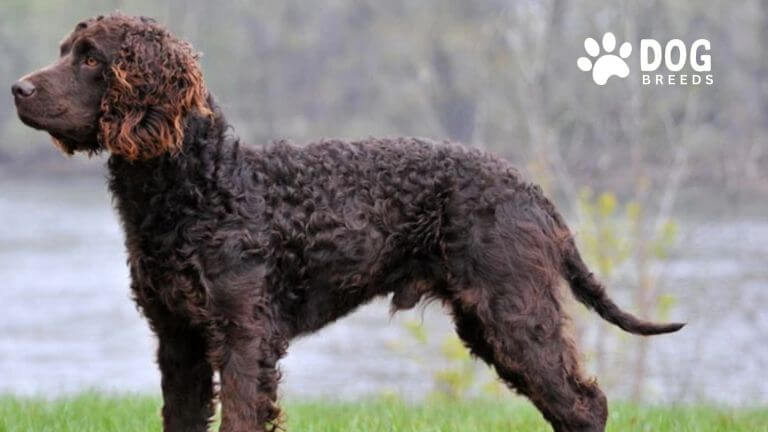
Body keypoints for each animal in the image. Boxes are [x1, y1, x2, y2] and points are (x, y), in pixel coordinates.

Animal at [12, 12, 684, 432]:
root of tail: (530, 189)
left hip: (514, 310)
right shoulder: (178, 340)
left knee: (584, 404)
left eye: (92, 60)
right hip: (491, 321)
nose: (17, 88)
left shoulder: (244, 336)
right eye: (65, 53)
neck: (199, 188)